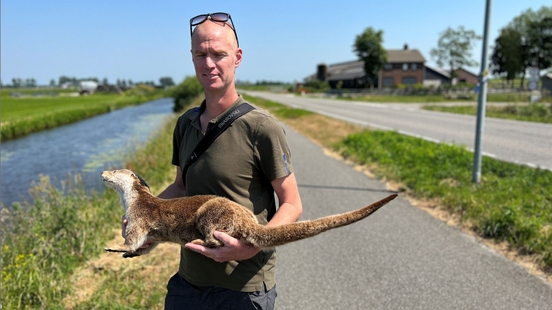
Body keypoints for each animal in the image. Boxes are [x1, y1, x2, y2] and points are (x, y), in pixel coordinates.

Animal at [102, 168, 396, 258]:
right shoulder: (151, 234)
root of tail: (247, 219)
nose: (103, 172)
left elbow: (134, 238)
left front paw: (116, 247)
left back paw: (197, 241)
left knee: (214, 237)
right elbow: (146, 245)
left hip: (210, 214)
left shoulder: (139, 218)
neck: (132, 200)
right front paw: (130, 255)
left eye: (114, 171)